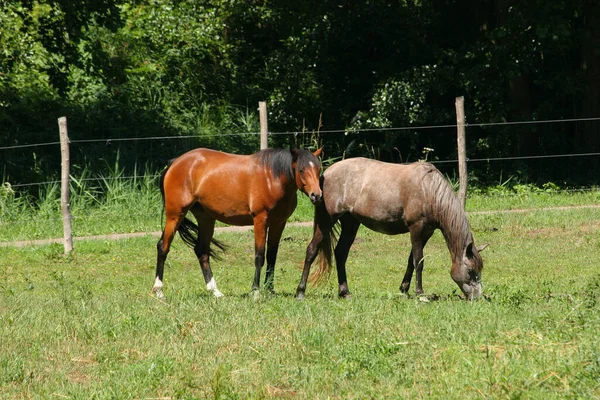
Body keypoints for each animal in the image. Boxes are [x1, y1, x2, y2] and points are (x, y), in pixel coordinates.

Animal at [155, 147, 324, 296]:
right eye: (301, 170)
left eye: (318, 170)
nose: (317, 195)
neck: (272, 178)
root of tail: (175, 162)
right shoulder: (260, 220)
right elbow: (259, 256)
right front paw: (255, 291)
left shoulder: (279, 223)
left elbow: (272, 256)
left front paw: (270, 289)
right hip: (175, 215)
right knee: (163, 247)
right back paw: (158, 291)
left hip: (206, 218)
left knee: (201, 251)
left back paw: (215, 292)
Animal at [296, 158, 488, 298]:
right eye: (471, 271)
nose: (477, 297)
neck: (429, 190)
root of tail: (325, 174)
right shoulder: (416, 228)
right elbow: (419, 261)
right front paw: (420, 293)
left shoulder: (426, 232)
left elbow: (411, 260)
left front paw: (404, 289)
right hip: (327, 221)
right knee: (312, 250)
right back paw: (300, 292)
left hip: (351, 223)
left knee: (341, 253)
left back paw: (345, 292)